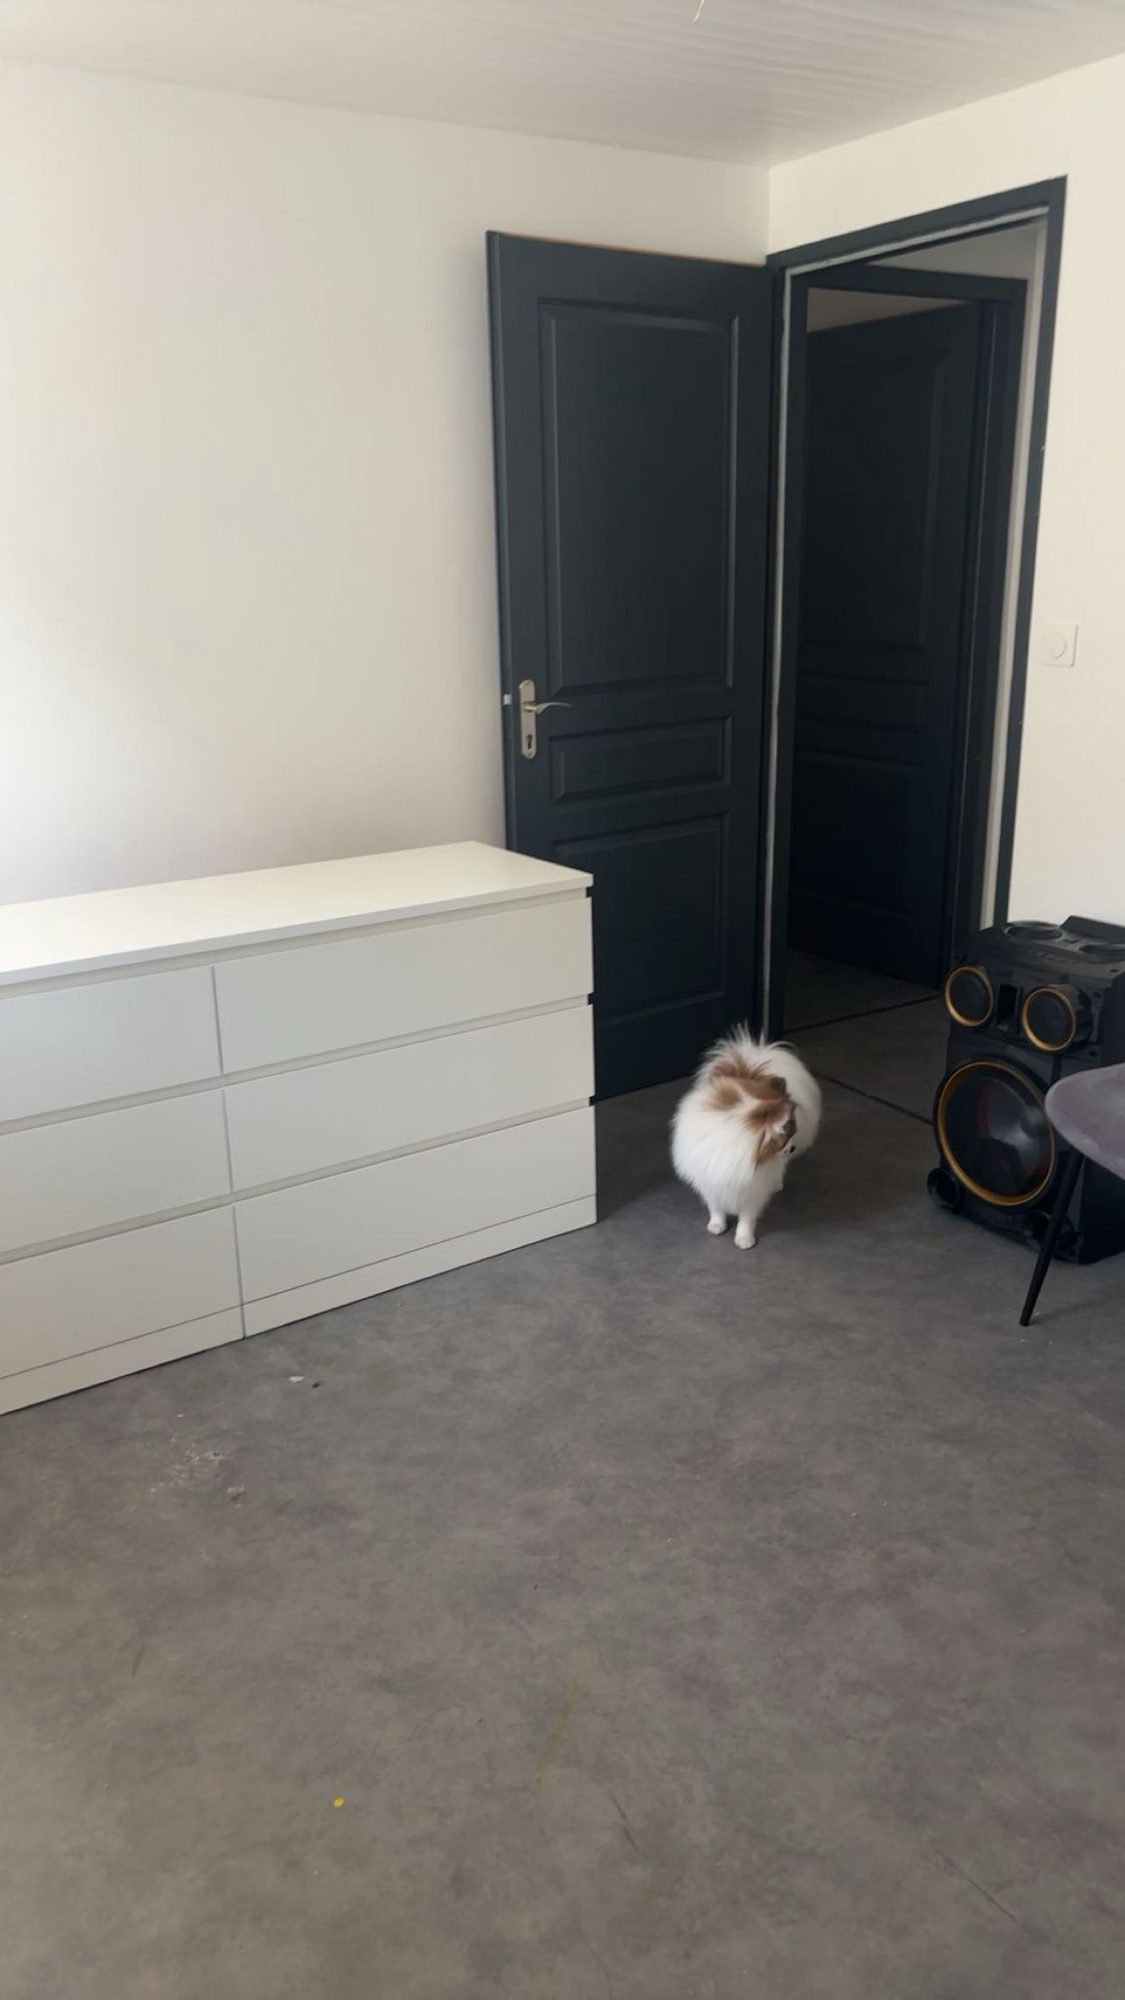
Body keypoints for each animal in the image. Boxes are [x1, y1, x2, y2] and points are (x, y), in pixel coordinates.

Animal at [671, 1031, 821, 1249]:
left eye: (792, 1134)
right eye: (785, 1138)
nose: (792, 1148)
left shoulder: (752, 1188)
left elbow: (747, 1216)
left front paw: (744, 1238)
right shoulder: (711, 1178)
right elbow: (716, 1207)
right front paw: (717, 1225)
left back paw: (776, 1183)